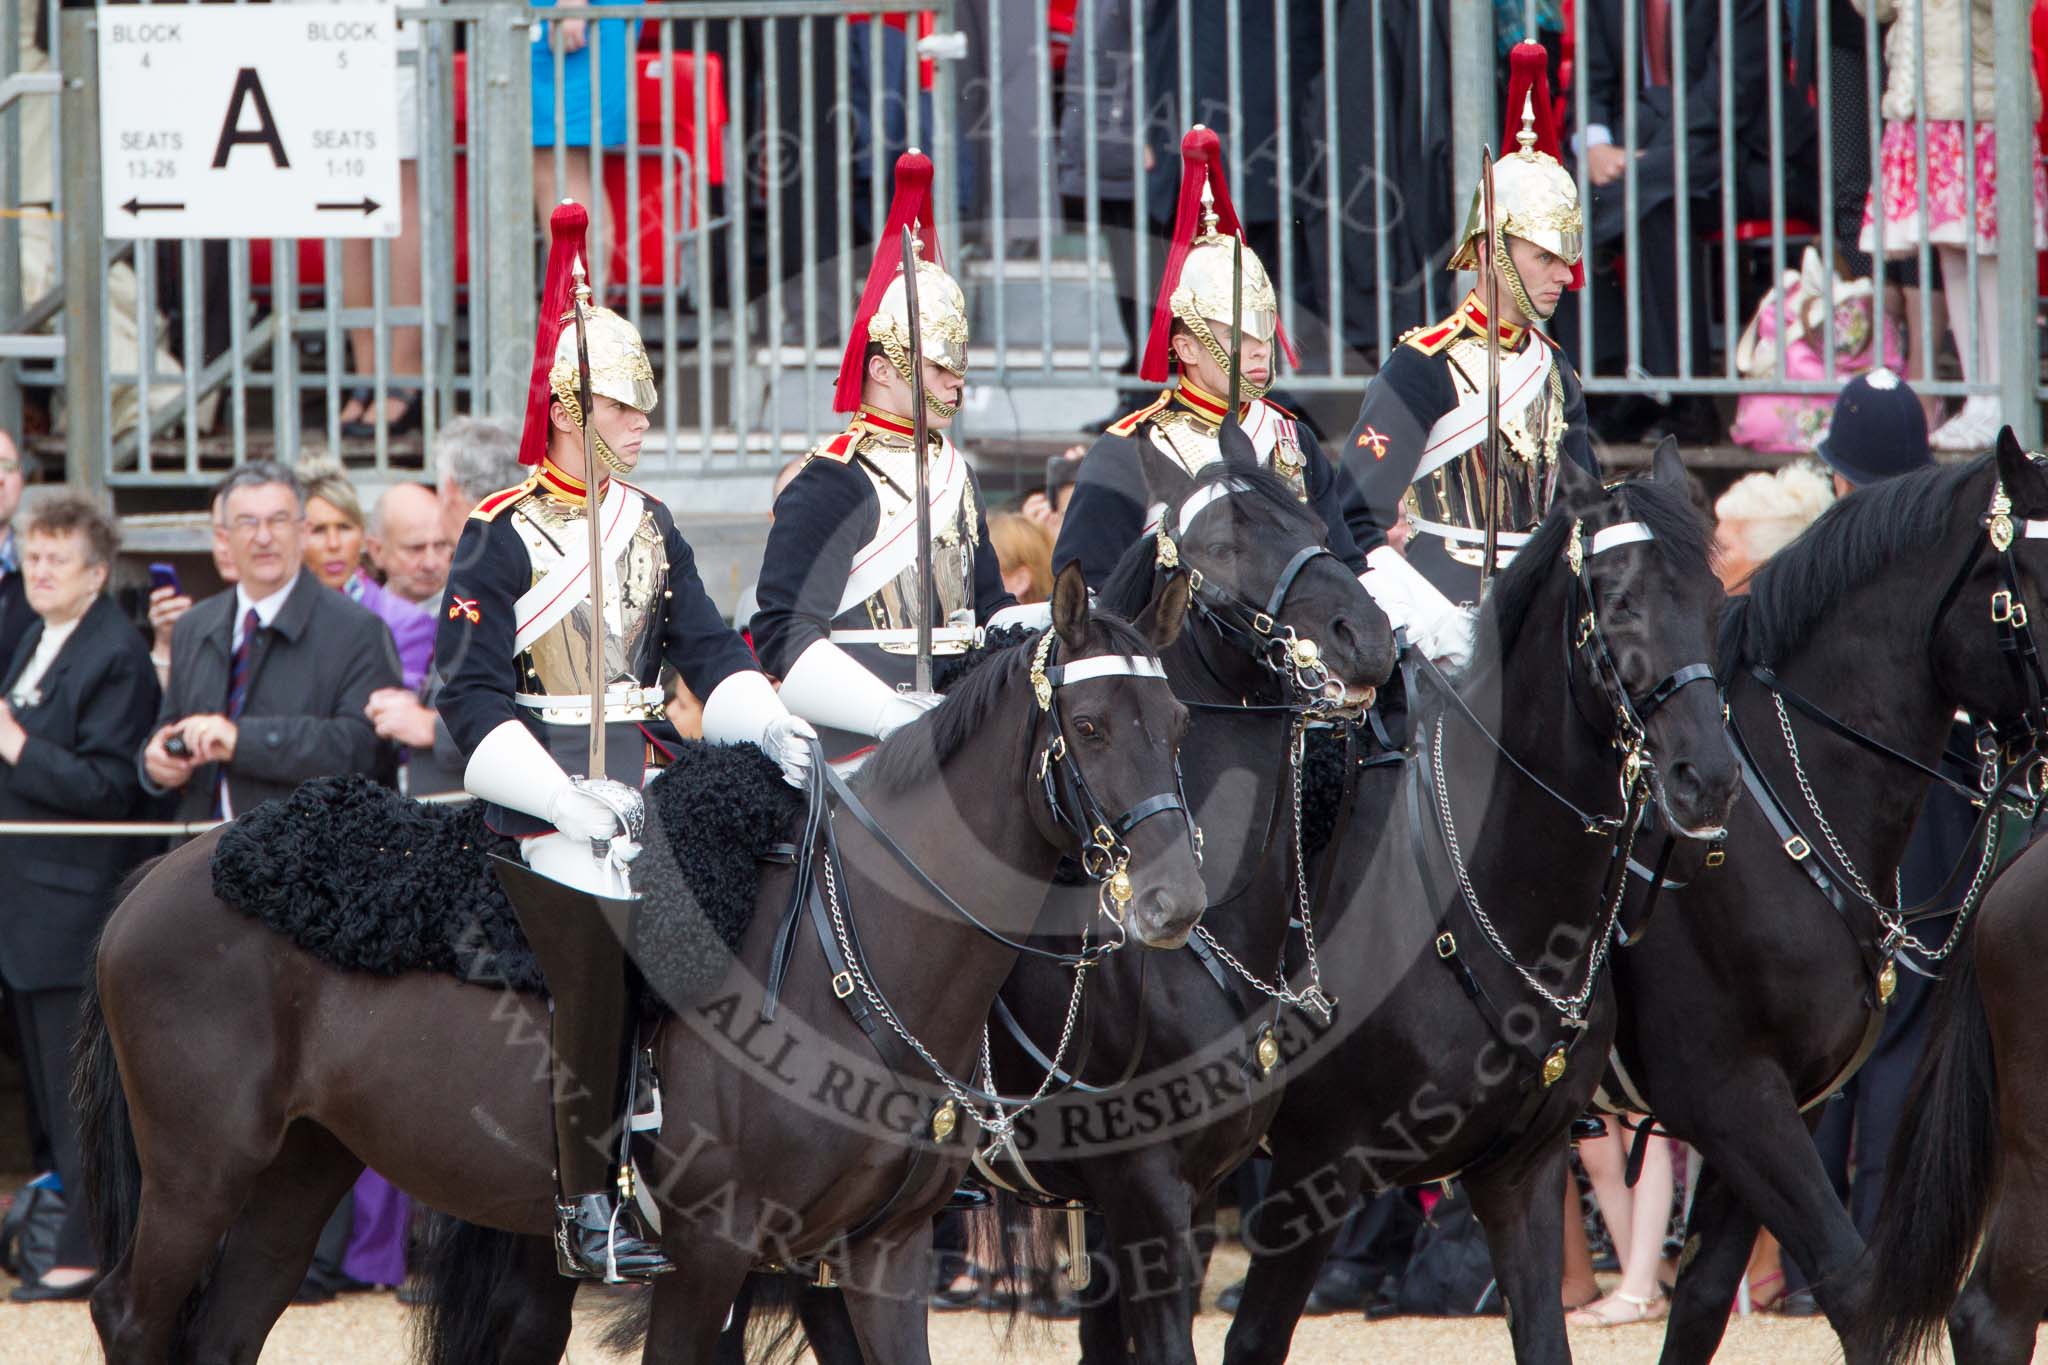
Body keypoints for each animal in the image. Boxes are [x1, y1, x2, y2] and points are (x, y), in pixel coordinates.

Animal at [75, 568, 1196, 1365]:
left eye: (1180, 722)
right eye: (1089, 726)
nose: (1174, 898)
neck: (850, 952)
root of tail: (164, 871)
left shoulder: (883, 1256)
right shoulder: (708, 1256)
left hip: (301, 1167)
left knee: (224, 1332)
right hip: (200, 1170)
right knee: (130, 1316)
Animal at [1220, 439, 1736, 1365]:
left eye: (1715, 600)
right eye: (1622, 602)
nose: (1707, 779)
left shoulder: (1518, 1172)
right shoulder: (1315, 1170)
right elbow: (1250, 1341)